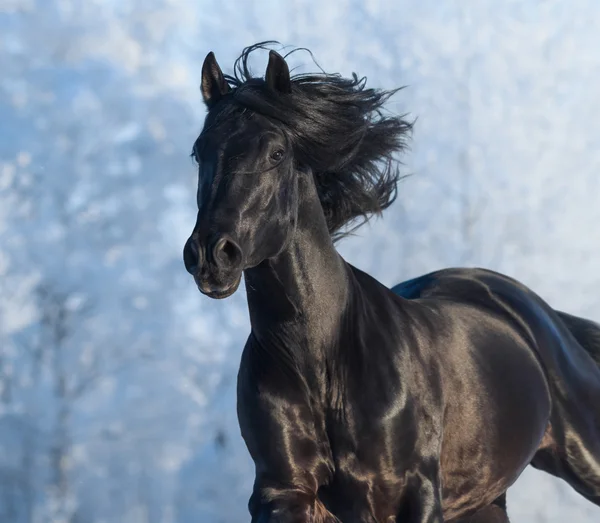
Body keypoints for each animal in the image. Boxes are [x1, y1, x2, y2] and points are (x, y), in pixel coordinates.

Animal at [184, 43, 600, 520]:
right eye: (199, 151)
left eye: (276, 153)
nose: (212, 254)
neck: (322, 367)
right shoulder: (283, 493)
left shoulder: (413, 492)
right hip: (484, 499)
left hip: (583, 454)